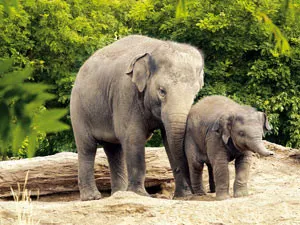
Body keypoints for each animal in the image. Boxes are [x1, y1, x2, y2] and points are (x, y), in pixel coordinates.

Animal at [71, 35, 204, 200]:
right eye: (162, 91)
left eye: (195, 94)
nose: (195, 193)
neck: (155, 48)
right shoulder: (126, 92)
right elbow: (133, 137)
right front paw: (140, 195)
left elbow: (168, 140)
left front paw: (183, 196)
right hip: (79, 109)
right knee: (87, 147)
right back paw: (92, 197)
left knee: (114, 150)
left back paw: (119, 193)